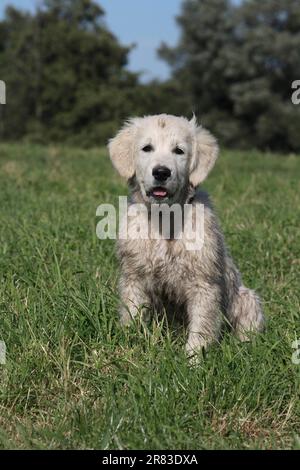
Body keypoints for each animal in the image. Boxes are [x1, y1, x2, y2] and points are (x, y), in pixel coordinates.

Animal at [108, 114, 264, 356]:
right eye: (147, 148)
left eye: (179, 151)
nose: (161, 172)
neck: (165, 218)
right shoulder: (134, 278)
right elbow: (132, 316)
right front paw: (131, 346)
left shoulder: (204, 285)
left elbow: (201, 328)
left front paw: (193, 359)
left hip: (248, 300)